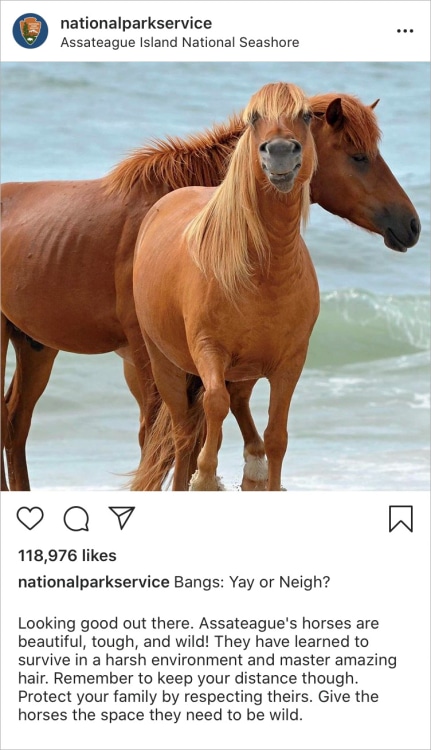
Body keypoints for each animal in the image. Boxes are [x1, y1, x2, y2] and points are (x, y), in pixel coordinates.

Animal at [1, 94, 422, 490]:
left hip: (36, 346)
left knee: (15, 420)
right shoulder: (146, 352)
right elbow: (160, 436)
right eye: (359, 157)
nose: (413, 224)